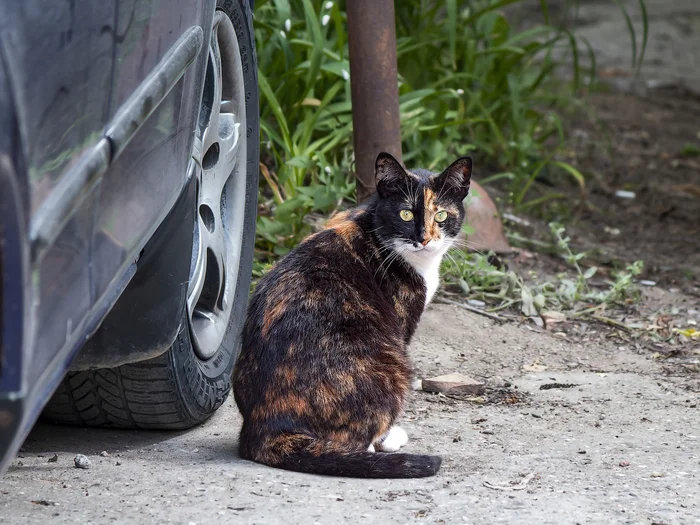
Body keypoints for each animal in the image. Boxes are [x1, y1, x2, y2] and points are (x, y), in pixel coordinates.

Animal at [234, 152, 470, 478]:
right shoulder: (401, 323)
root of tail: (264, 429)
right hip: (394, 365)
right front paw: (388, 438)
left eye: (442, 216)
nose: (424, 239)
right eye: (405, 214)